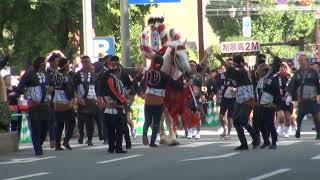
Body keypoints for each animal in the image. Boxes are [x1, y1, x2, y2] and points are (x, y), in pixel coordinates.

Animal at [138, 17, 200, 146]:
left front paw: (175, 135)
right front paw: (171, 139)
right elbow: (167, 119)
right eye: (177, 55)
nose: (189, 73)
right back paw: (162, 137)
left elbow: (177, 117)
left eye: (187, 53)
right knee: (160, 118)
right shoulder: (164, 101)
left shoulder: (179, 100)